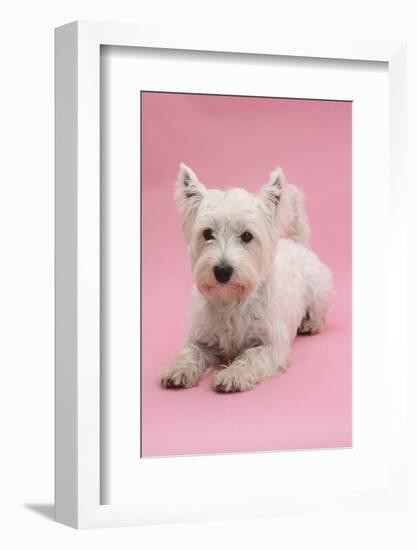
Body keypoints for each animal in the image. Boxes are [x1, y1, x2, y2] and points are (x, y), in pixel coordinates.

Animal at [158, 164, 334, 392]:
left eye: (247, 236)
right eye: (207, 233)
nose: (222, 271)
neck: (231, 300)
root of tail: (297, 243)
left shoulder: (271, 345)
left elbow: (251, 357)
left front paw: (233, 374)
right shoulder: (199, 337)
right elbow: (190, 353)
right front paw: (178, 369)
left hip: (319, 291)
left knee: (318, 314)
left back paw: (310, 324)